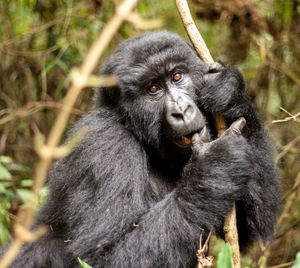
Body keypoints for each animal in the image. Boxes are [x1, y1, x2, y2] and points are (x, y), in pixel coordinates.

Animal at [1, 31, 278, 268]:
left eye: (177, 76)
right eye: (153, 89)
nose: (181, 111)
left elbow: (247, 227)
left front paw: (232, 93)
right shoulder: (105, 145)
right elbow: (101, 258)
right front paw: (216, 166)